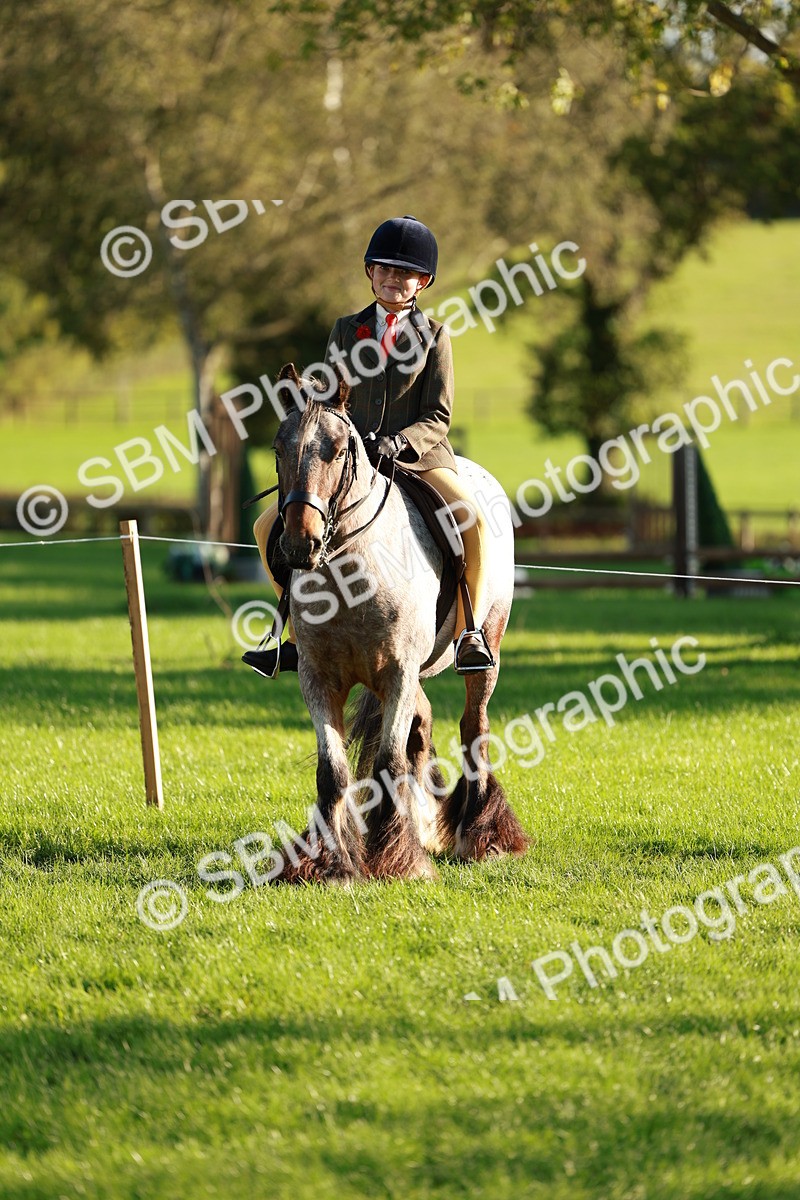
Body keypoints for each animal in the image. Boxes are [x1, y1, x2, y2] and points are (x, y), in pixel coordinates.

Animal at [266, 364, 530, 883]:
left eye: (338, 450)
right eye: (279, 449)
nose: (300, 545)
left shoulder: (398, 673)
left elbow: (388, 760)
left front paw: (397, 860)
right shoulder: (317, 677)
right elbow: (334, 771)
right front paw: (331, 863)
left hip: (485, 648)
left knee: (473, 727)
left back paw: (482, 835)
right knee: (421, 730)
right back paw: (425, 822)